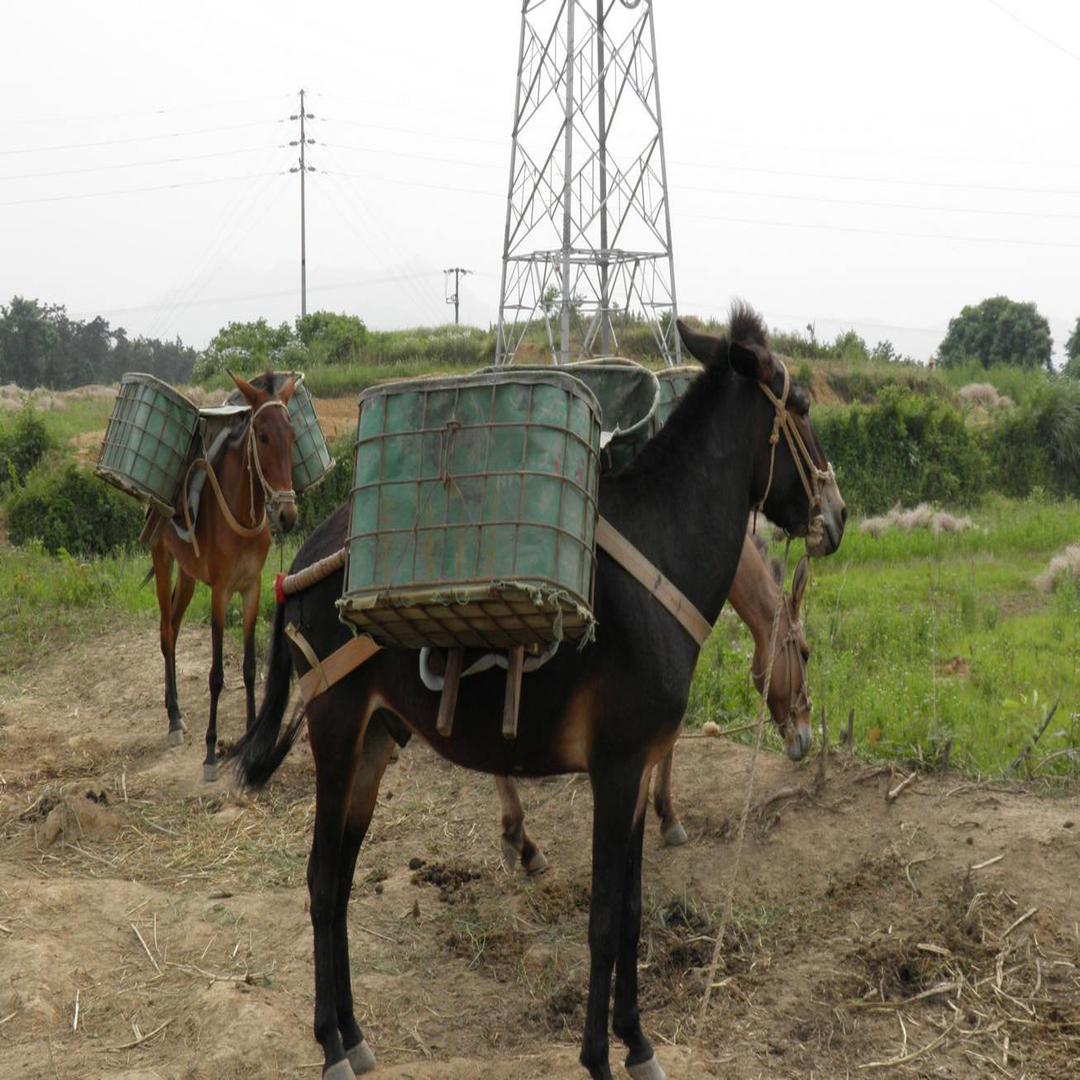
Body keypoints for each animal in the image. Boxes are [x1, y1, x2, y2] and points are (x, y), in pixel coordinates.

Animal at [150, 371, 298, 777]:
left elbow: (248, 668)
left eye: (293, 435)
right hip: (162, 559)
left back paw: (174, 709)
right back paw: (173, 718)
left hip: (187, 573)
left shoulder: (251, 588)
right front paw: (211, 751)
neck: (244, 511)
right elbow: (217, 674)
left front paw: (249, 736)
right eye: (262, 436)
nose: (287, 515)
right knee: (165, 633)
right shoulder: (219, 591)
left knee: (174, 627)